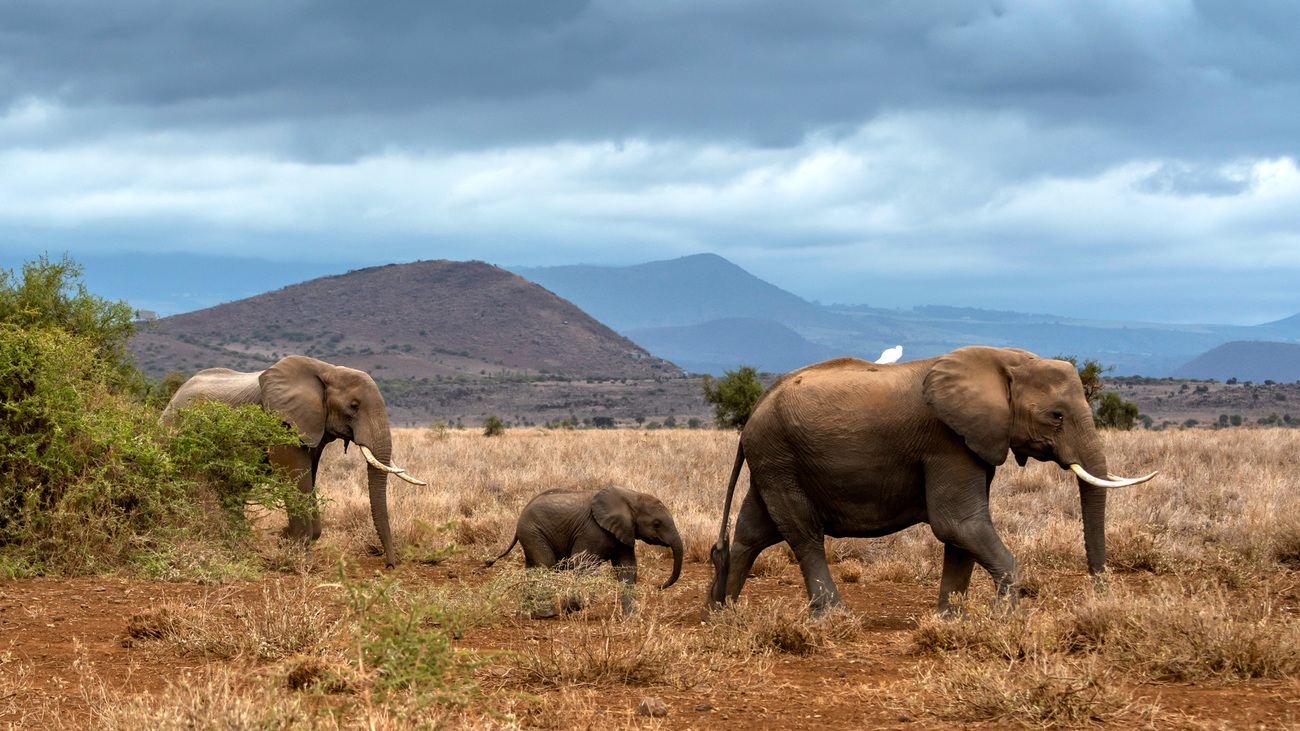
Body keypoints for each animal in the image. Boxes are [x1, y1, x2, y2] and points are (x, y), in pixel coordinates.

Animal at [160, 353, 426, 564]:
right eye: (354, 406)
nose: (389, 565)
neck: (327, 370)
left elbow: (310, 479)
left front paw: (285, 540)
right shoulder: (281, 422)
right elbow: (296, 478)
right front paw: (300, 557)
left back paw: (238, 544)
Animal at [486, 483, 686, 613]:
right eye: (657, 524)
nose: (659, 586)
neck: (633, 497)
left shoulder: (624, 532)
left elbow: (627, 568)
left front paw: (631, 620)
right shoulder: (592, 531)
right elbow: (583, 565)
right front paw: (570, 606)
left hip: (531, 534)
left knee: (533, 568)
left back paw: (526, 615)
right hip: (533, 531)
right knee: (546, 565)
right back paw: (547, 615)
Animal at [712, 343, 1159, 611]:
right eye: (1057, 416)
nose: (1102, 596)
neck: (1005, 358)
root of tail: (756, 408)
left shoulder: (975, 441)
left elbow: (962, 532)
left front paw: (951, 620)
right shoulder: (947, 441)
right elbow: (959, 523)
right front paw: (1005, 619)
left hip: (773, 460)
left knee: (753, 532)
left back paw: (720, 613)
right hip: (779, 455)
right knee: (803, 534)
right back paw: (833, 617)